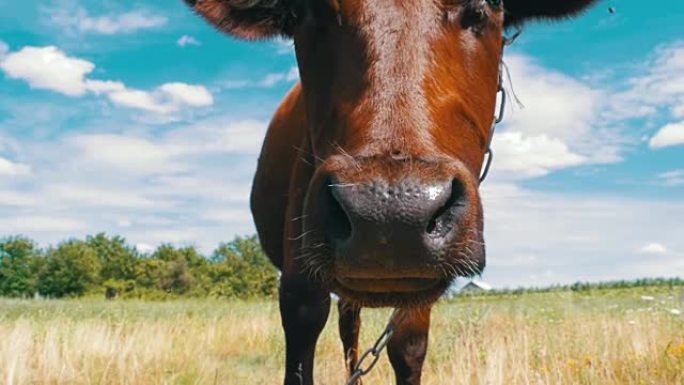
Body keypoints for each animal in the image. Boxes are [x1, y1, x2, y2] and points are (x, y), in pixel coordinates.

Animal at [182, 1, 600, 382]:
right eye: (310, 10)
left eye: (483, 8)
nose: (389, 216)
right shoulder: (299, 275)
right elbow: (302, 343)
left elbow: (408, 345)